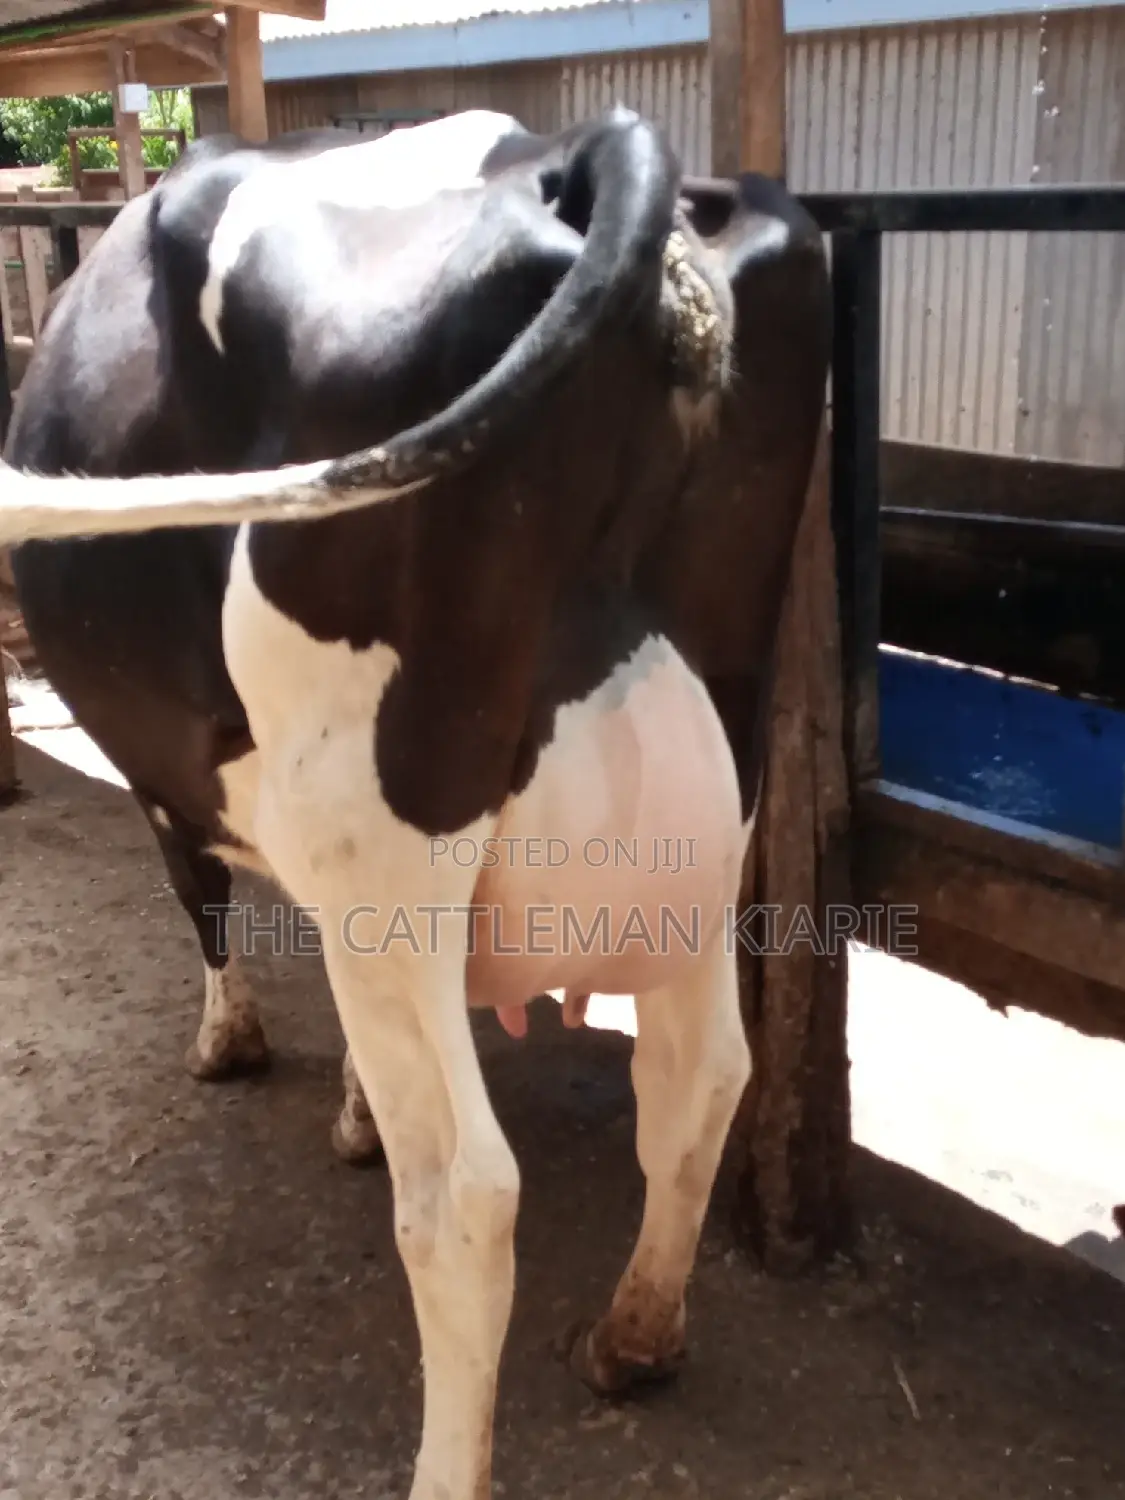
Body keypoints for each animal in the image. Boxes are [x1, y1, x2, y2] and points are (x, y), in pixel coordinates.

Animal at [0, 107, 830, 1499]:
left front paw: (232, 1047)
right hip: (720, 780)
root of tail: (580, 154)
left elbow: (204, 901)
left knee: (466, 1193)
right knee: (702, 1073)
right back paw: (634, 1335)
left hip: (380, 820)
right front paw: (346, 1106)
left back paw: (450, 1463)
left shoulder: (181, 792)